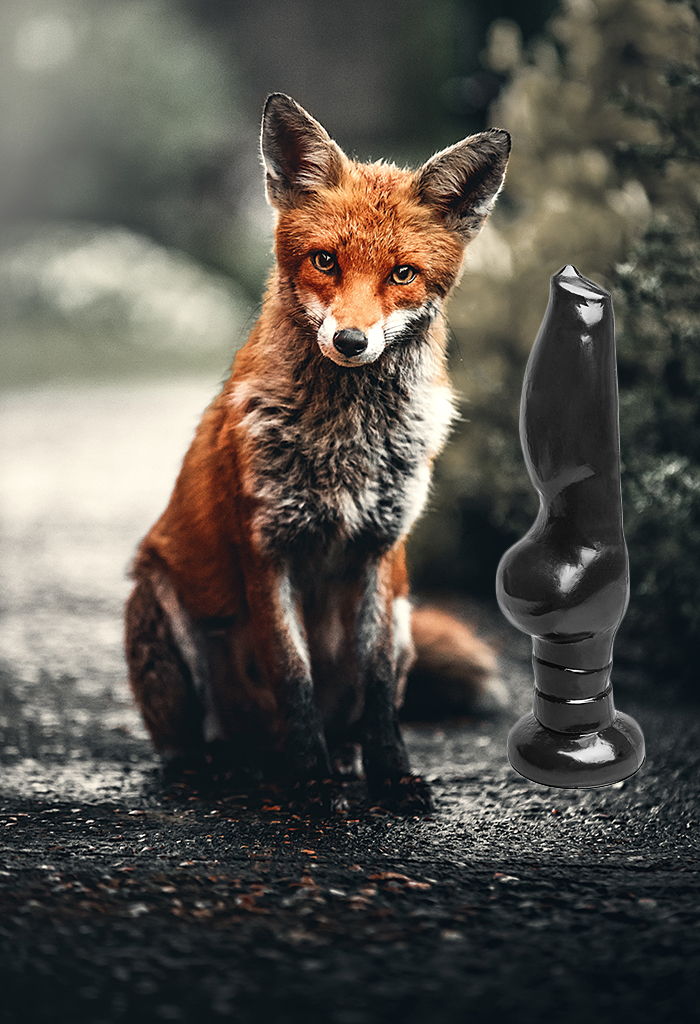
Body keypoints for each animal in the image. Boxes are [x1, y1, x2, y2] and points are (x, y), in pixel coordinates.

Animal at [125, 93, 510, 814]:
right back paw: (223, 769)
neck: (346, 443)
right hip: (160, 605)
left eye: (402, 274)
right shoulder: (267, 549)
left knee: (352, 715)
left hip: (407, 616)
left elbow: (379, 689)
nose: (352, 341)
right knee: (193, 744)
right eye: (325, 261)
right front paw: (311, 783)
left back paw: (341, 760)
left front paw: (392, 776)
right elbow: (293, 676)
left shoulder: (382, 553)